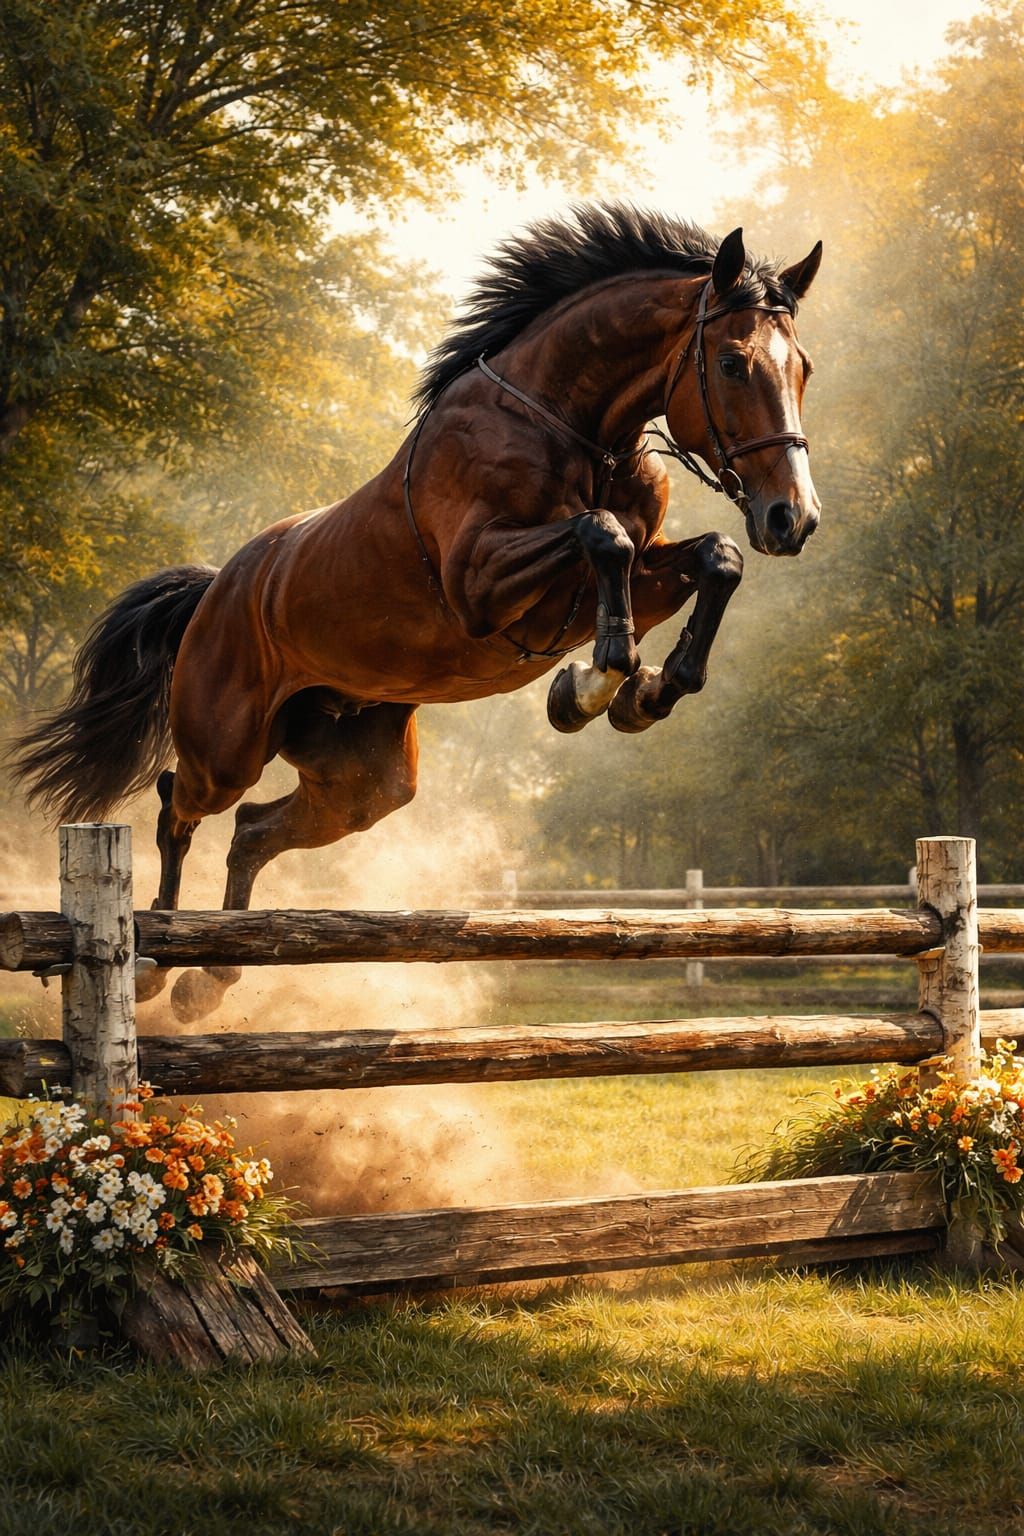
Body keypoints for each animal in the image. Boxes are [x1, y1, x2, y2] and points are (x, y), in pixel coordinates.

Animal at [11, 205, 822, 1022]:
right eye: (732, 364)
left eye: (805, 370)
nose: (794, 519)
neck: (574, 428)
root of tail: (215, 590)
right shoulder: (479, 583)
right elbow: (603, 535)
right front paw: (591, 687)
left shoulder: (645, 569)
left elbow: (715, 556)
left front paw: (644, 693)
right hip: (226, 746)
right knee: (179, 805)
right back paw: (154, 961)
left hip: (360, 780)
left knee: (252, 831)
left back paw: (209, 980)